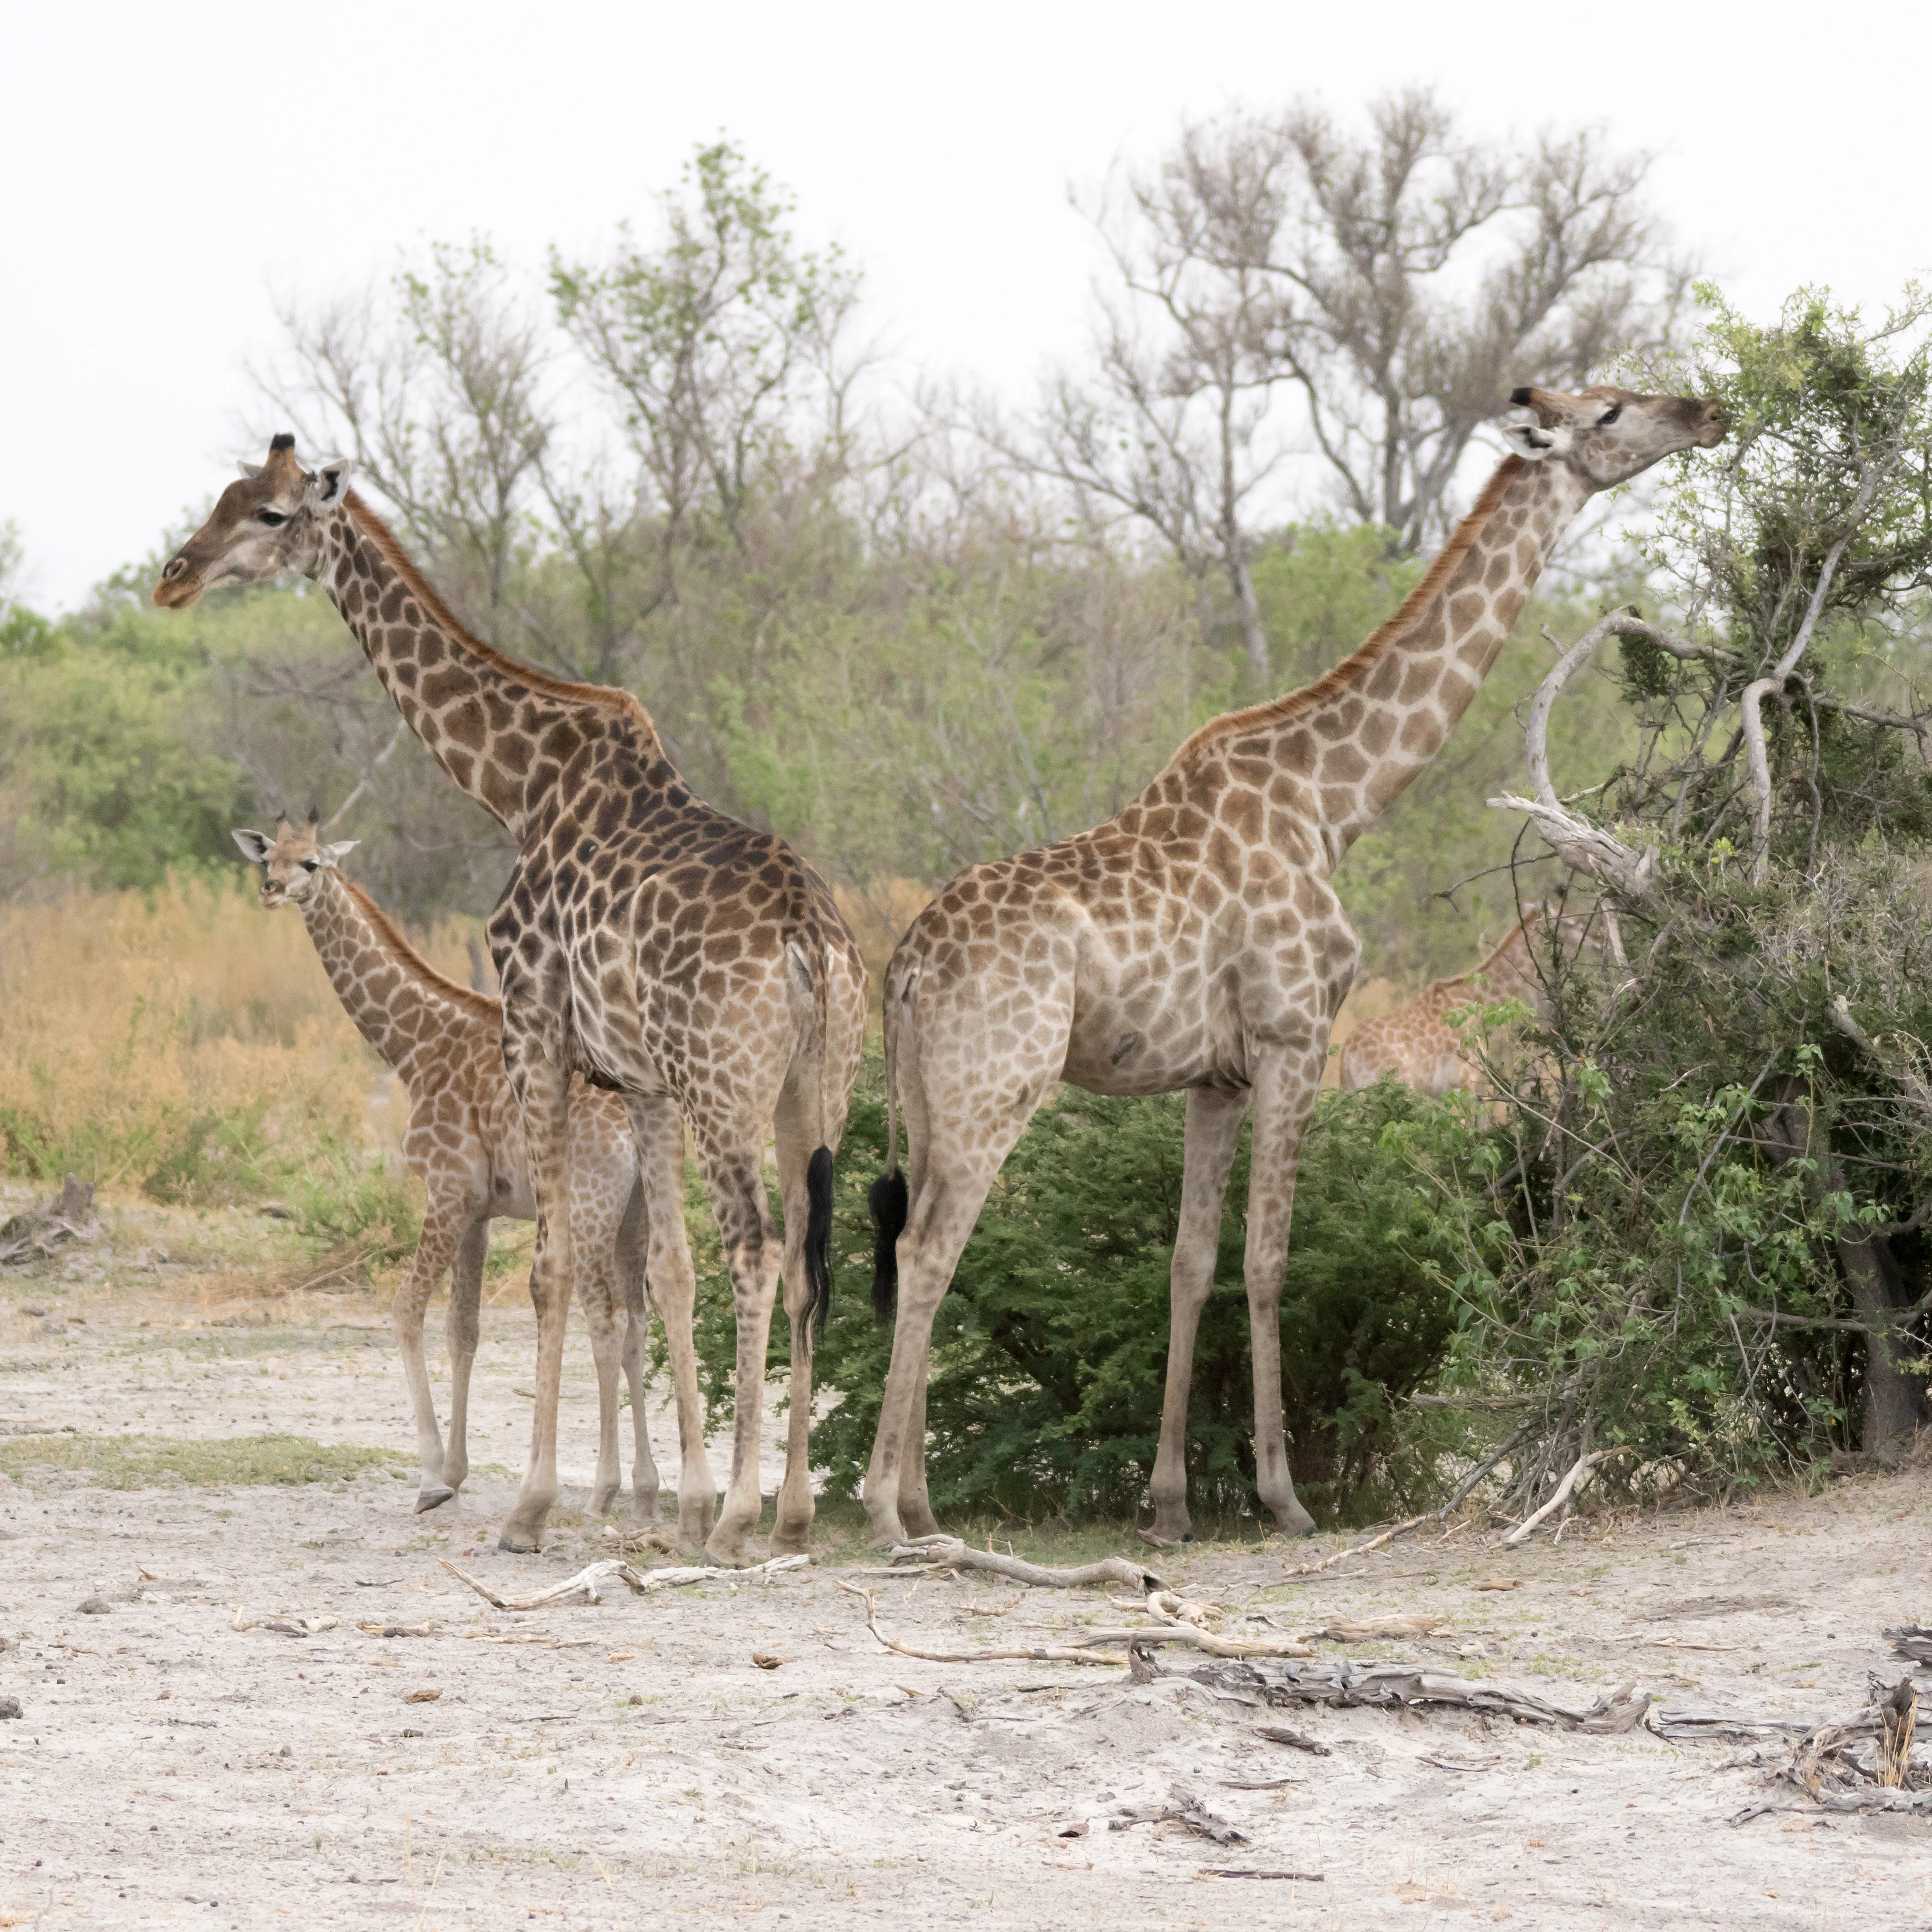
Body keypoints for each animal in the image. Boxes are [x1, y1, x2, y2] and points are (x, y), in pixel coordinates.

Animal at [231, 812, 662, 1521]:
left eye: (312, 863)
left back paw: (604, 1488)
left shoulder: (445, 1187)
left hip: (590, 1206)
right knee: (640, 1320)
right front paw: (457, 1470)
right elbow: (465, 1328)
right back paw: (650, 1487)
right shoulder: (480, 1207)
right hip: (637, 1215)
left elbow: (406, 1309)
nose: (270, 890)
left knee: (606, 1318)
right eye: (269, 856)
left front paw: (432, 1475)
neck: (412, 1047)